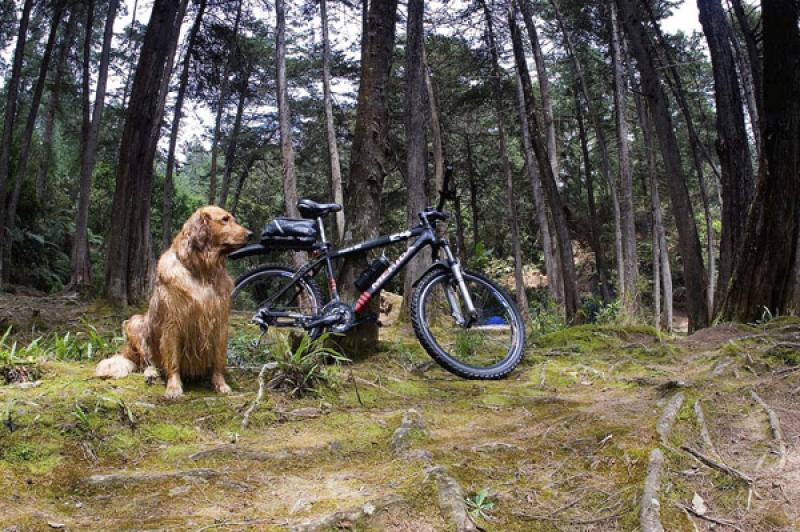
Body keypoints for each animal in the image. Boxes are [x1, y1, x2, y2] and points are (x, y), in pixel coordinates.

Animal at [98, 206, 252, 396]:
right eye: (225, 219)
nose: (251, 234)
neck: (202, 271)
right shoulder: (173, 323)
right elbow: (172, 359)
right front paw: (174, 387)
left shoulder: (220, 323)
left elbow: (218, 360)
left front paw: (220, 384)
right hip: (135, 322)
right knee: (146, 361)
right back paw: (151, 373)